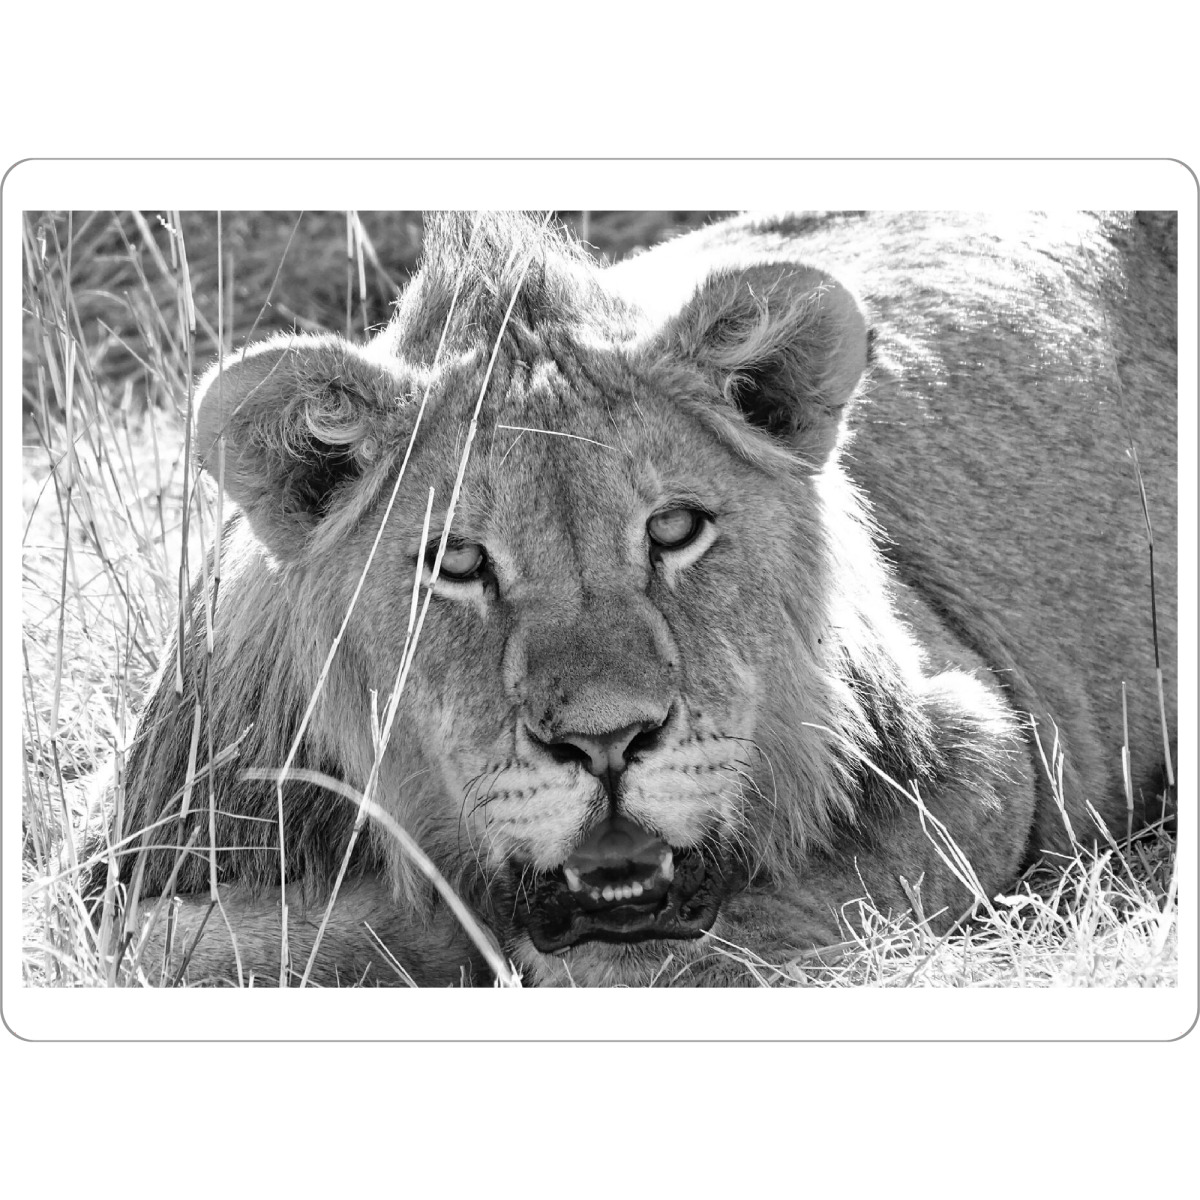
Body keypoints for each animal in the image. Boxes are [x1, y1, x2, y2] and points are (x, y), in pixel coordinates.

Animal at [86, 210, 1177, 987]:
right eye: (458, 561)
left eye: (675, 528)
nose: (607, 744)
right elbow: (185, 946)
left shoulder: (979, 736)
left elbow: (763, 924)